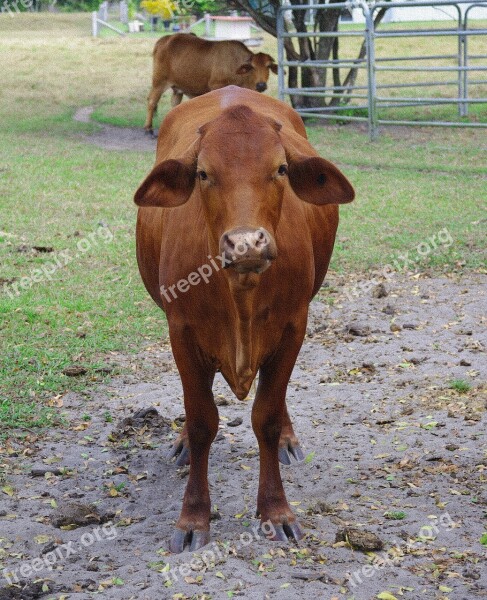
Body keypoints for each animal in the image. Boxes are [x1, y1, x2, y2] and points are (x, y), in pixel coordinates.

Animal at [133, 85, 354, 552]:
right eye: (203, 174)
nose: (246, 243)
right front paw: (193, 516)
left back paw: (289, 439)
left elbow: (265, 418)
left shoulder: (293, 327)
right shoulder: (181, 332)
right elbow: (202, 421)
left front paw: (276, 510)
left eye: (281, 169)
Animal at [143, 32, 276, 134]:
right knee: (151, 101)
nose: (261, 85)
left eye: (268, 66)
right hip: (159, 81)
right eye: (252, 67)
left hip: (177, 88)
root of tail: (165, 39)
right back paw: (148, 129)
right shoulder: (216, 86)